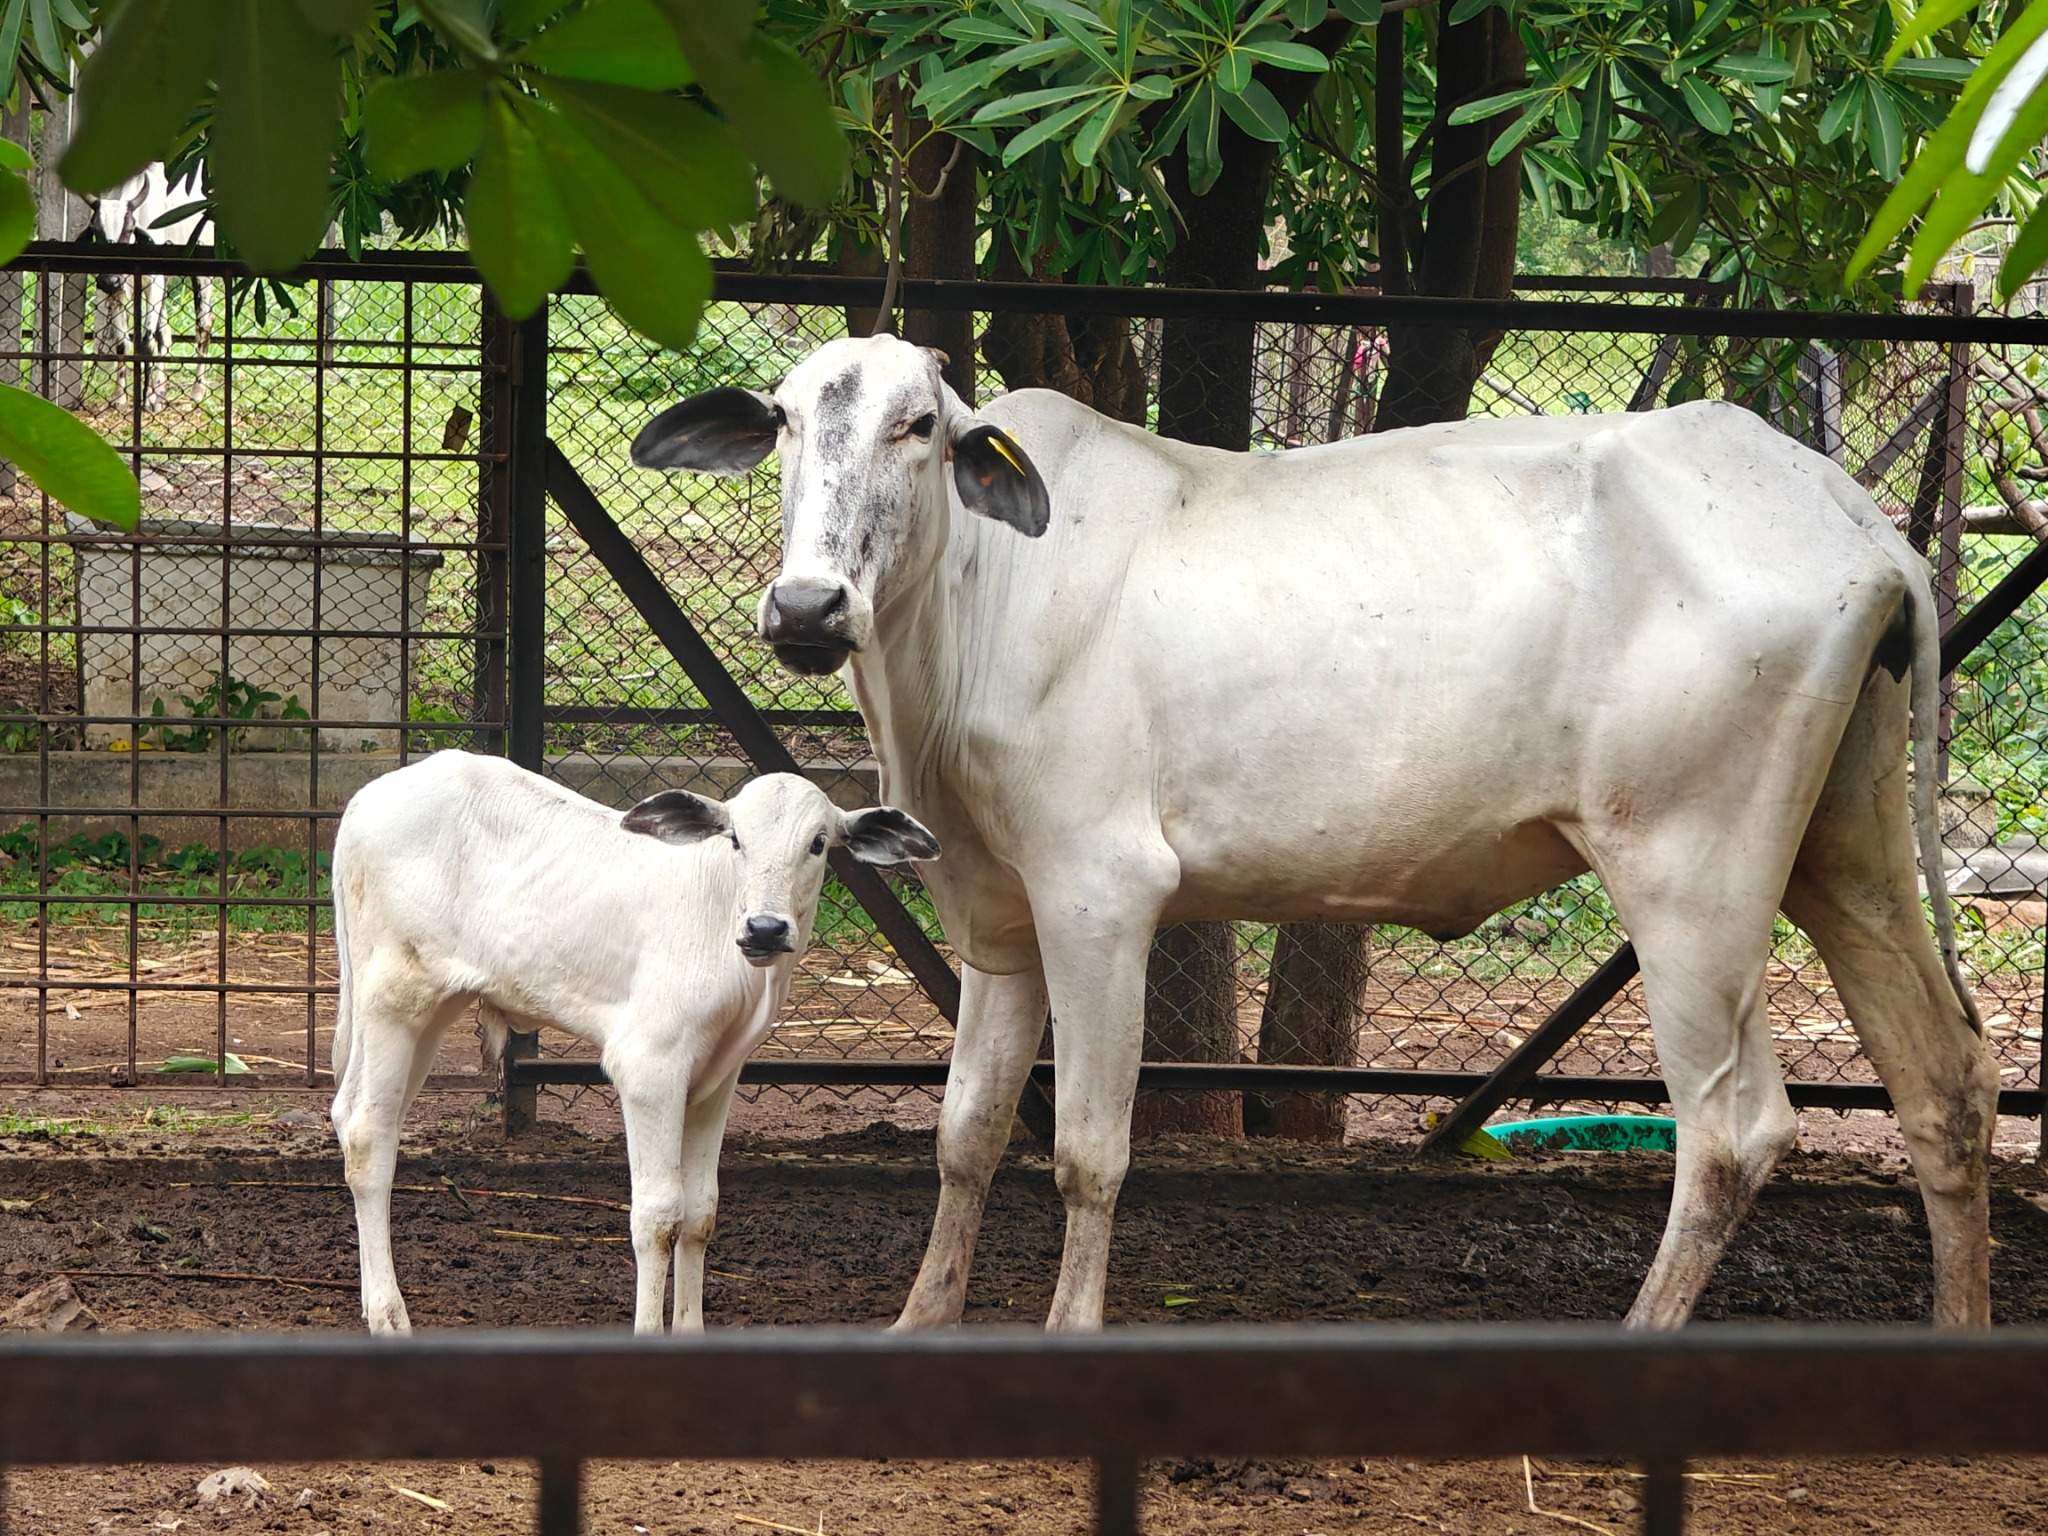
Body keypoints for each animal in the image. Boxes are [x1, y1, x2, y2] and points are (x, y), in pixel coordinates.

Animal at [327, 751, 940, 1334]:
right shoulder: (649, 1067)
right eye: (736, 838)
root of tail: (363, 800)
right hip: (395, 999)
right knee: (368, 1136)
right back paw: (389, 1314)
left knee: (353, 1111)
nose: (765, 928)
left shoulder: (719, 1078)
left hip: (432, 1011)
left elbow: (701, 1212)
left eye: (817, 843)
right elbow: (658, 1216)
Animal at [630, 334, 1997, 1331]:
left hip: (1688, 873)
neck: (977, 608)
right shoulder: (998, 915)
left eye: (918, 426)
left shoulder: (1098, 892)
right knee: (1944, 1077)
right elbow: (965, 1134)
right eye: (784, 421)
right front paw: (920, 1324)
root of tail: (1850, 517)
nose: (807, 606)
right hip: (1845, 844)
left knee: (1732, 1130)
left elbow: (1087, 1148)